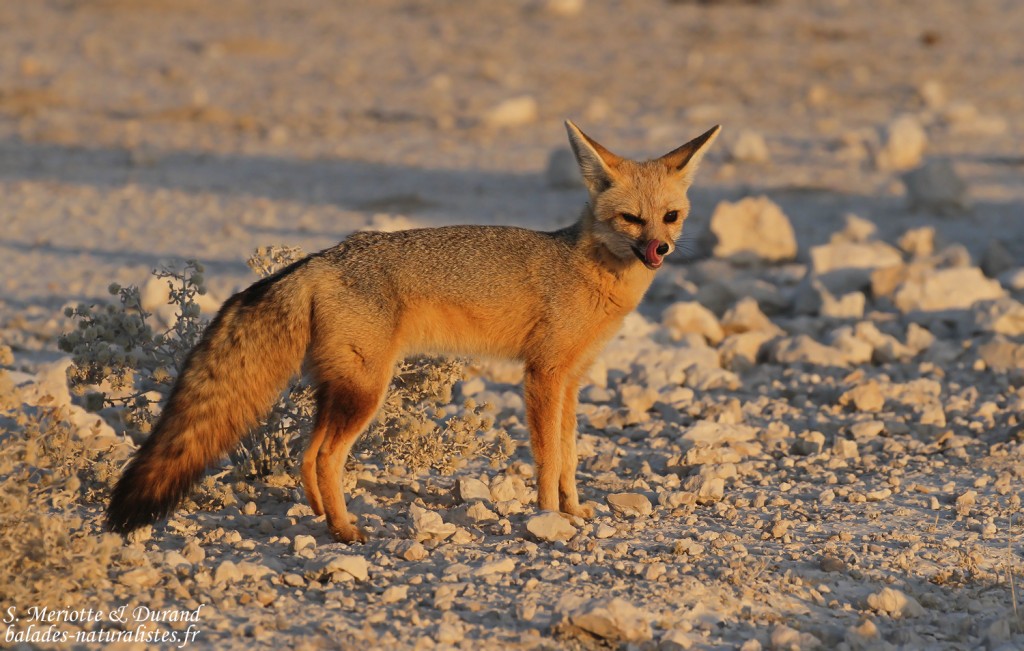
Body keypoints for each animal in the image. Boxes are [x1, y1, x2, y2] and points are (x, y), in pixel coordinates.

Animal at [105, 121, 720, 543]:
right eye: (630, 219)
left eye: (670, 216)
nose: (660, 250)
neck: (587, 269)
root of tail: (323, 259)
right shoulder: (542, 376)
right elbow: (548, 458)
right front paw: (549, 516)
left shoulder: (571, 380)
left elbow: (569, 455)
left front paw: (573, 509)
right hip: (366, 394)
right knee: (326, 458)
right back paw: (346, 531)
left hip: (341, 389)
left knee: (306, 456)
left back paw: (324, 519)